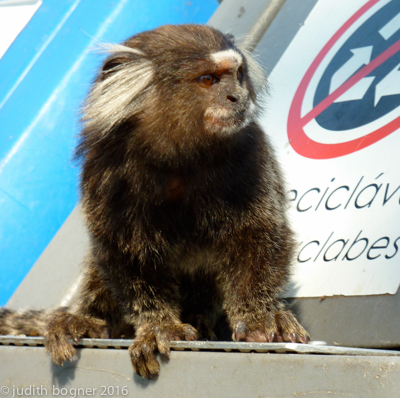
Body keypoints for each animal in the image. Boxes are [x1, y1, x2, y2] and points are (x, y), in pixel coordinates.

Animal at [0, 24, 310, 380]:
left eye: (238, 75)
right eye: (208, 79)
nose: (238, 96)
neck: (178, 160)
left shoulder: (251, 155)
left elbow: (258, 237)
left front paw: (259, 316)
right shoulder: (104, 175)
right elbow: (127, 257)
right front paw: (160, 326)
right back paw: (85, 320)